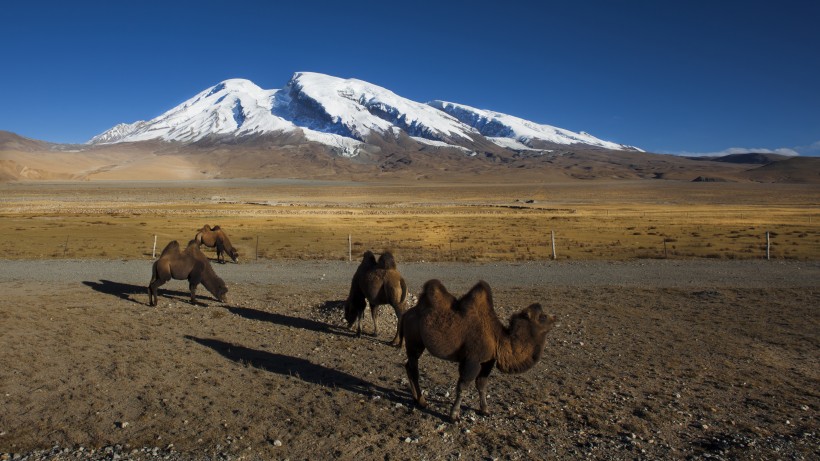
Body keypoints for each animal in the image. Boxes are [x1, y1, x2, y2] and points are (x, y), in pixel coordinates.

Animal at [398, 276, 556, 420]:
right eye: (542, 317)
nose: (555, 318)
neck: (498, 339)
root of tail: (407, 314)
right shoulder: (472, 360)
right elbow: (463, 386)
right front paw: (454, 415)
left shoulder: (487, 361)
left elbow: (482, 385)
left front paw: (485, 410)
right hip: (414, 342)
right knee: (414, 368)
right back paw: (422, 401)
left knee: (408, 366)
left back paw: (416, 399)